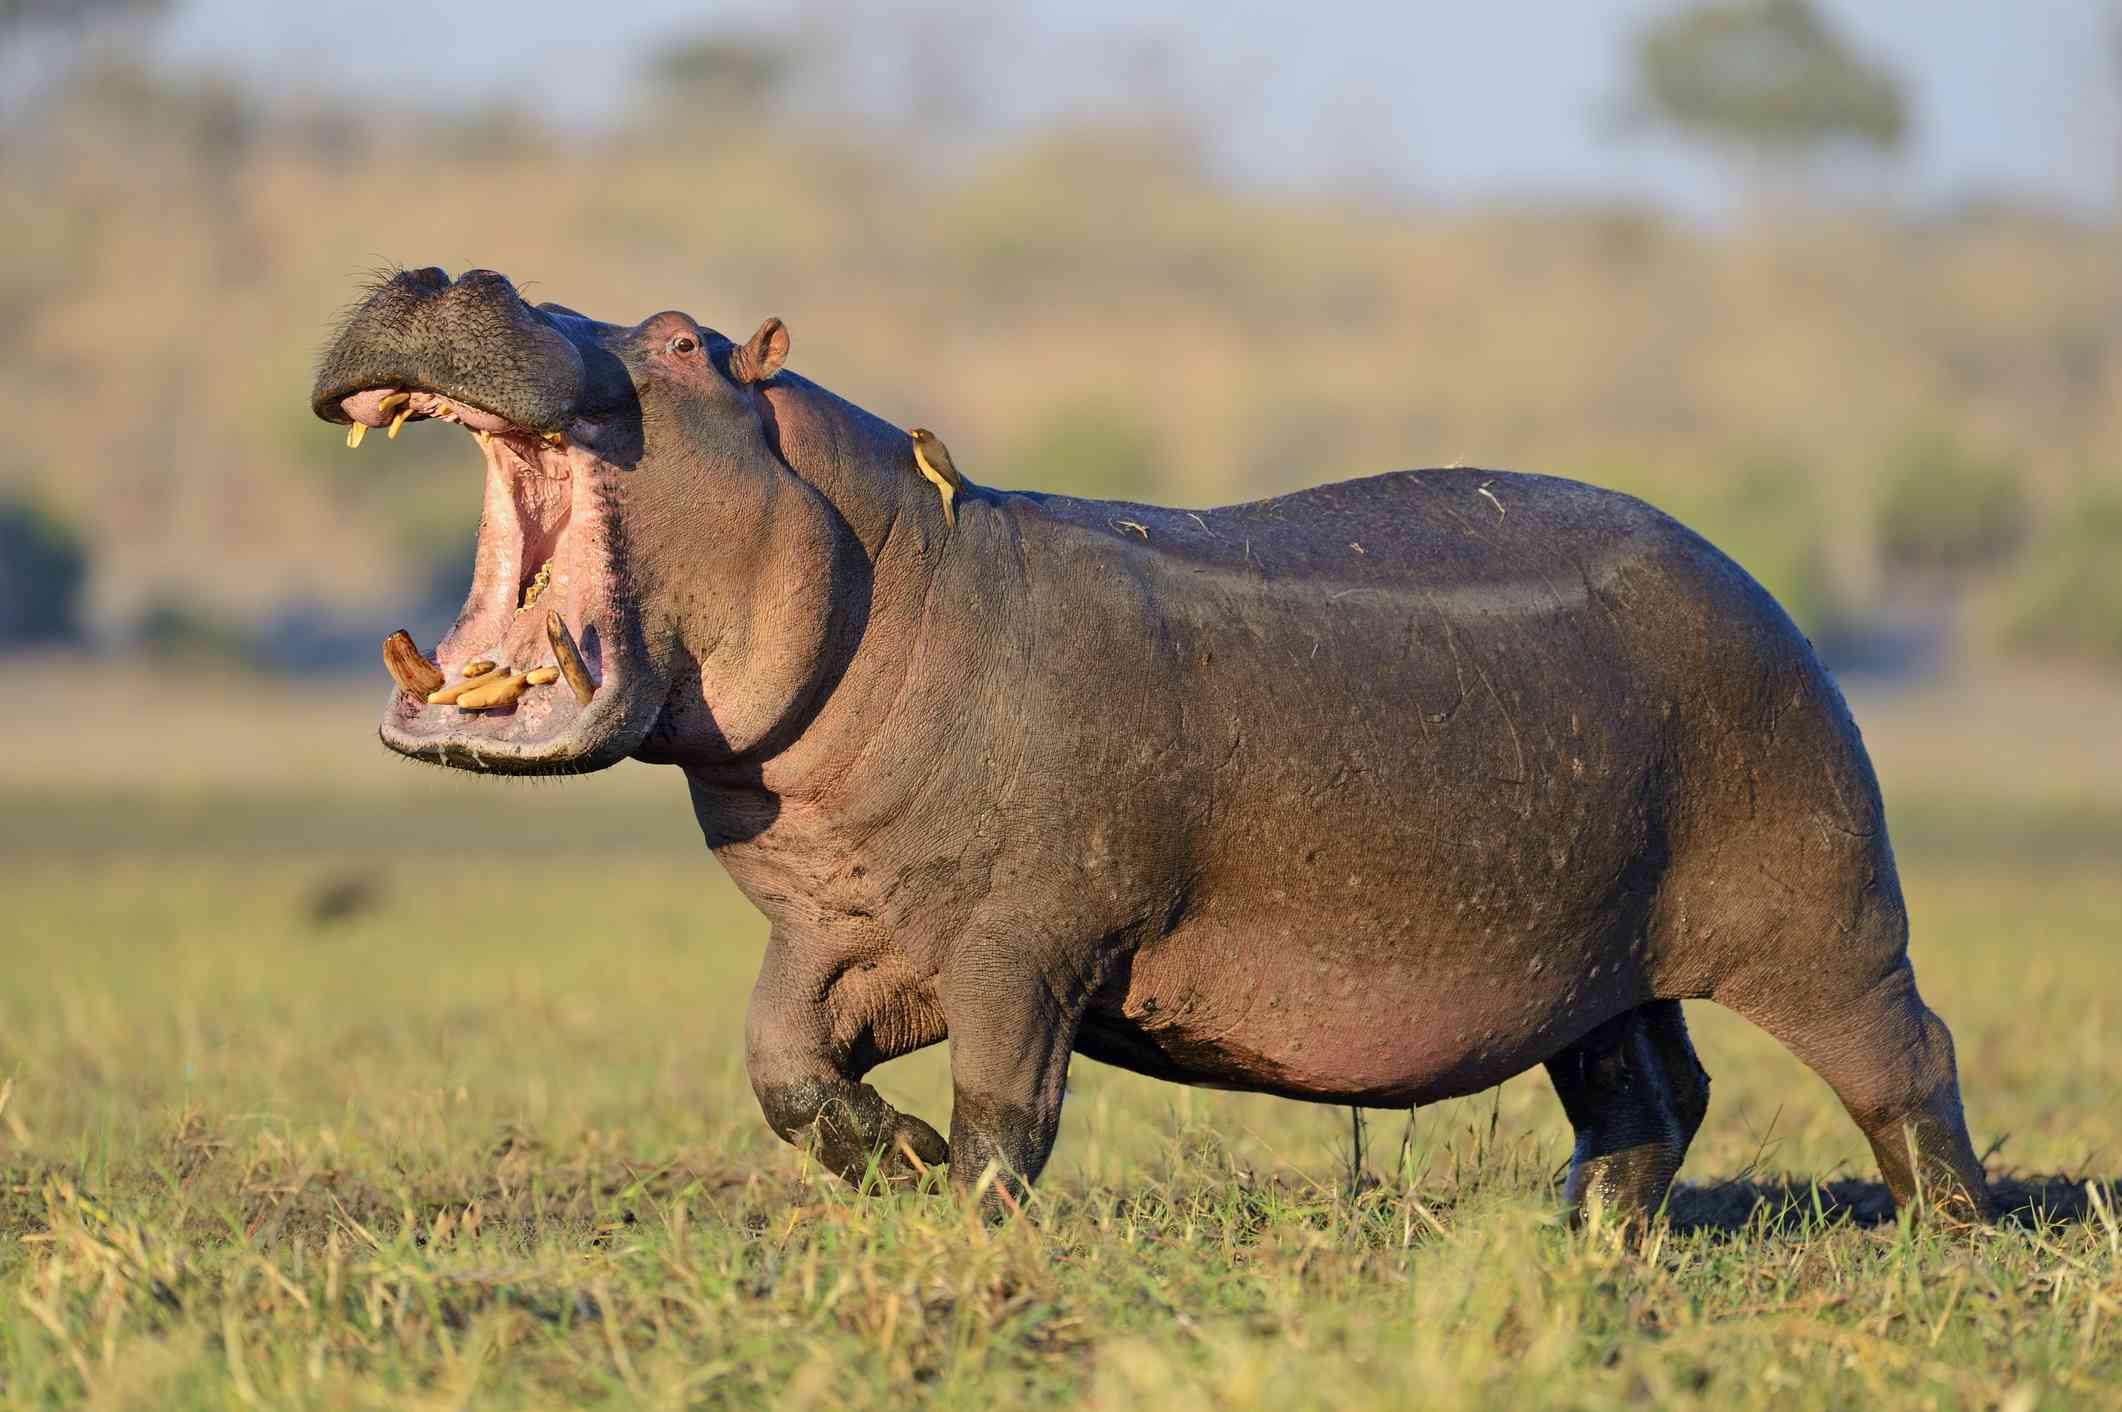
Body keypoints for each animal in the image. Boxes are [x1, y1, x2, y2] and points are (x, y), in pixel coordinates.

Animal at [311, 267, 1990, 1225]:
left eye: (676, 340)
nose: (448, 265)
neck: (887, 560)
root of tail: (1756, 585)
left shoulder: (1021, 940)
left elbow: (1008, 1106)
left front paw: (968, 1227)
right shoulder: (837, 929)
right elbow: (779, 1066)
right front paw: (894, 1168)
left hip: (1825, 907)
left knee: (1908, 1059)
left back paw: (1947, 1238)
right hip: (1591, 949)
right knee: (1649, 1092)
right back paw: (1576, 1240)